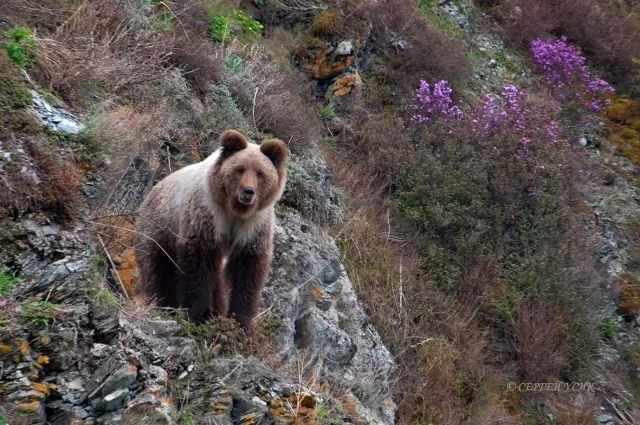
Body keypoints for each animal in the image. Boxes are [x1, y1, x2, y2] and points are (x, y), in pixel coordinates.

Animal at [133, 129, 287, 331]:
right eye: (240, 169)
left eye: (260, 173)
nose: (248, 192)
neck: (234, 210)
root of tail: (152, 191)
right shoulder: (207, 214)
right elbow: (199, 262)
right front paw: (201, 314)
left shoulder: (254, 226)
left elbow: (248, 269)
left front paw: (240, 322)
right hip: (158, 228)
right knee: (157, 269)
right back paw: (165, 305)